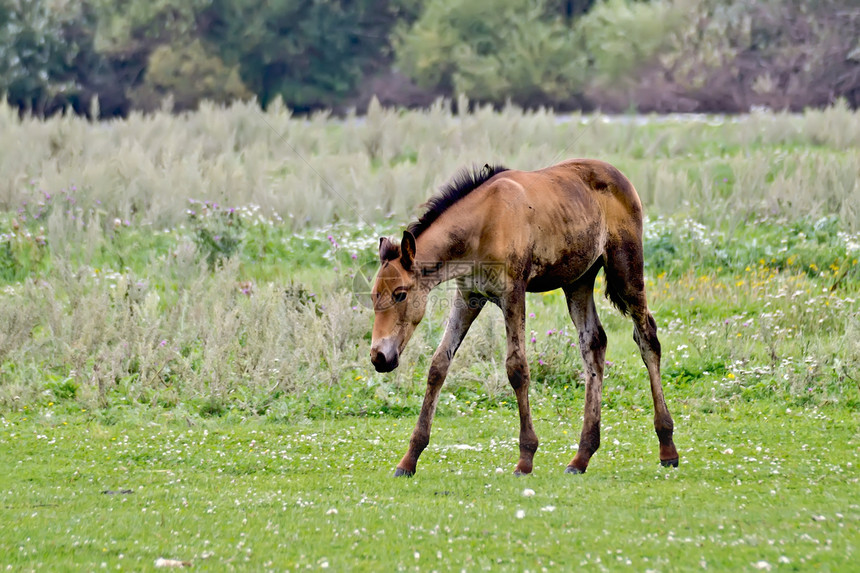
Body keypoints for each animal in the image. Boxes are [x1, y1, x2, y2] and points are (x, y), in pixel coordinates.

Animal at [370, 159, 680, 476]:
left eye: (400, 294)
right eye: (373, 295)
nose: (379, 357)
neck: (483, 224)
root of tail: (621, 178)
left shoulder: (513, 294)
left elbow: (517, 368)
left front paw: (526, 458)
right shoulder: (468, 296)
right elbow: (438, 366)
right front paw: (409, 459)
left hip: (625, 269)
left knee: (647, 338)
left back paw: (667, 446)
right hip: (578, 281)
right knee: (594, 344)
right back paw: (581, 456)